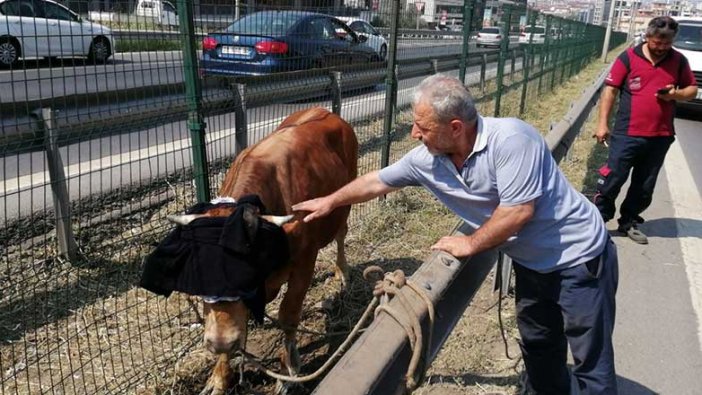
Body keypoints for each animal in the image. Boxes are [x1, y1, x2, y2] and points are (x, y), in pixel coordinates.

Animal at [168, 108, 360, 395]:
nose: (220, 343)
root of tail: (326, 112)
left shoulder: (305, 262)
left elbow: (288, 315)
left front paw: (287, 370)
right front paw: (219, 376)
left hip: (343, 206)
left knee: (340, 235)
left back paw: (343, 273)